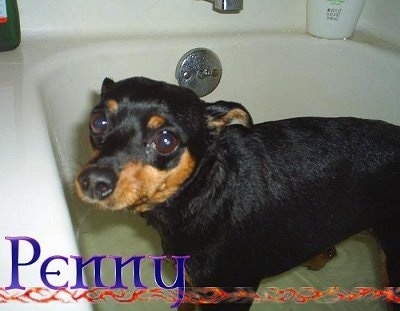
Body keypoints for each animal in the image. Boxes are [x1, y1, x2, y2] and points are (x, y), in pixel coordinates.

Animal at [75, 76, 400, 311]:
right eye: (98, 122)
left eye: (166, 140)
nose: (92, 181)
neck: (208, 196)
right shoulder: (191, 284)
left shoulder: (232, 294)